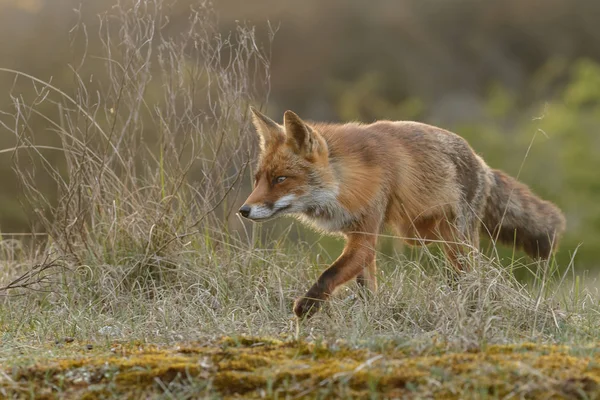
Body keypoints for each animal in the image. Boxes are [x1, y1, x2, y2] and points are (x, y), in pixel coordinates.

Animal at [239, 107, 568, 318]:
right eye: (258, 179)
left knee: (473, 277)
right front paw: (370, 312)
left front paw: (306, 308)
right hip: (424, 234)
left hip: (457, 243)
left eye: (280, 179)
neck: (346, 180)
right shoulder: (359, 236)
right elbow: (364, 284)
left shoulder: (366, 232)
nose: (244, 210)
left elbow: (328, 275)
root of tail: (482, 161)